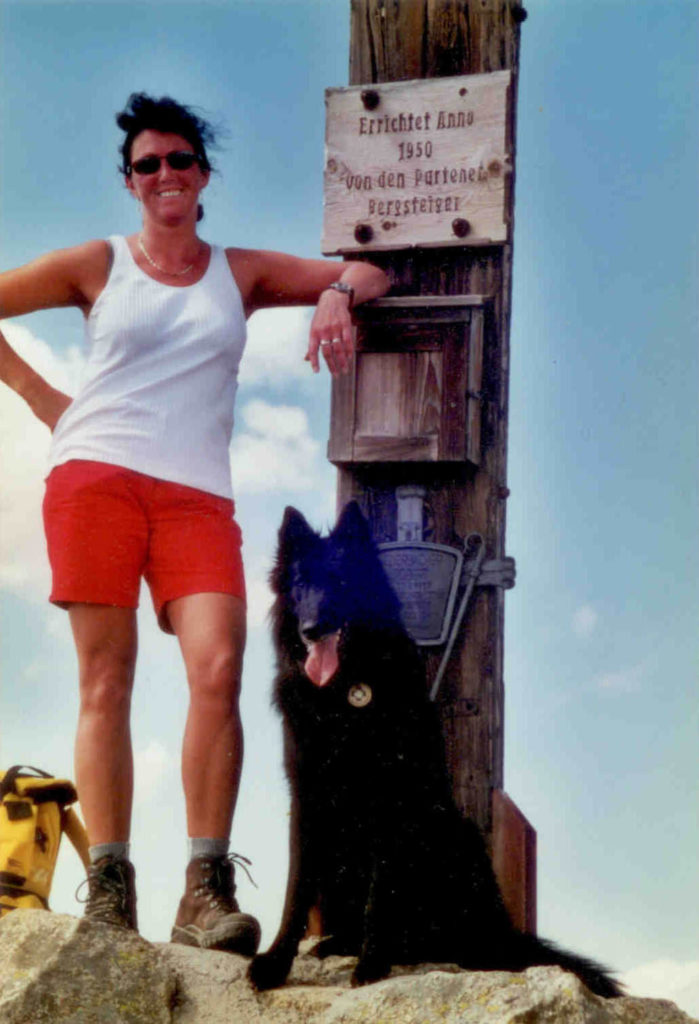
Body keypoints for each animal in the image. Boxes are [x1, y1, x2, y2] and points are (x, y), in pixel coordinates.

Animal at [248, 503, 622, 999]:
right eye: (301, 583)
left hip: (458, 835)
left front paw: (373, 963)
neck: (346, 690)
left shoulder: (390, 800)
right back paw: (340, 943)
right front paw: (275, 963)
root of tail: (500, 933)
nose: (312, 629)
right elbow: (296, 890)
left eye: (343, 581)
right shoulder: (308, 800)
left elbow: (380, 894)